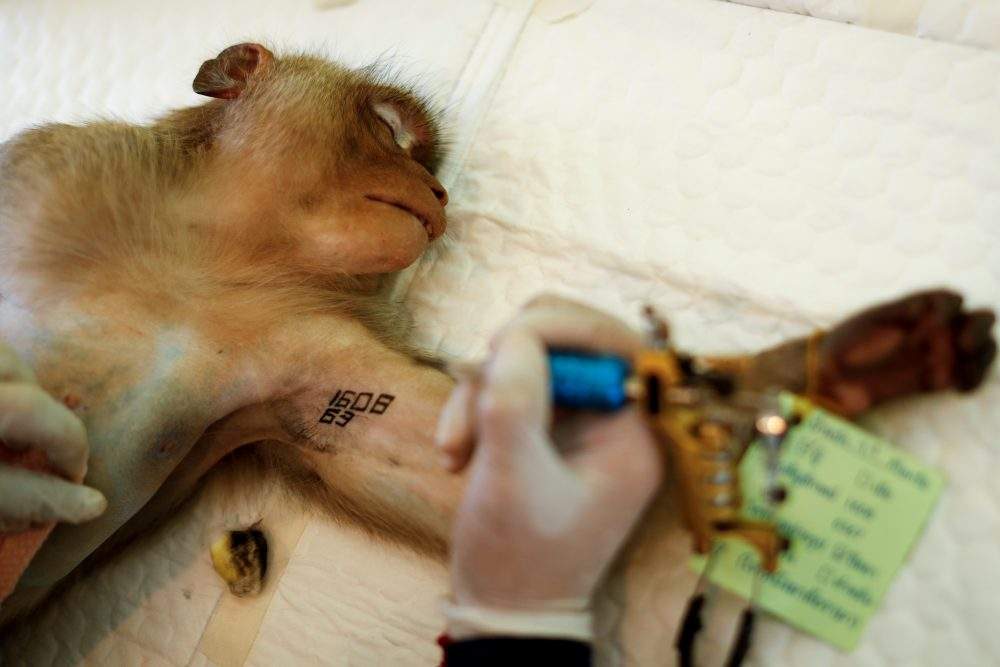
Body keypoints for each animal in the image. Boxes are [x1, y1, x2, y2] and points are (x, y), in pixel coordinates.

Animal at [0, 42, 995, 629]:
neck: (198, 267)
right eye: (387, 127)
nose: (439, 192)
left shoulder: (298, 344)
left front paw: (838, 361)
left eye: (424, 155)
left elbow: (472, 472)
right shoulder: (43, 173)